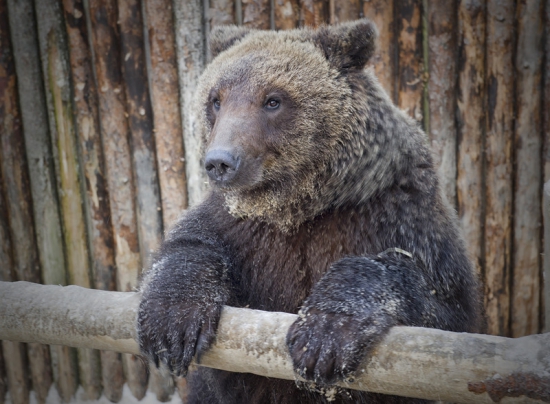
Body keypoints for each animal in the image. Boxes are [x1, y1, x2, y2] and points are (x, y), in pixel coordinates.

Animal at [137, 19, 484, 404]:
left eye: (273, 99)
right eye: (216, 99)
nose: (219, 162)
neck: (299, 207)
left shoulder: (397, 214)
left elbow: (439, 301)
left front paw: (324, 334)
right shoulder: (240, 228)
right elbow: (191, 247)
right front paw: (170, 324)